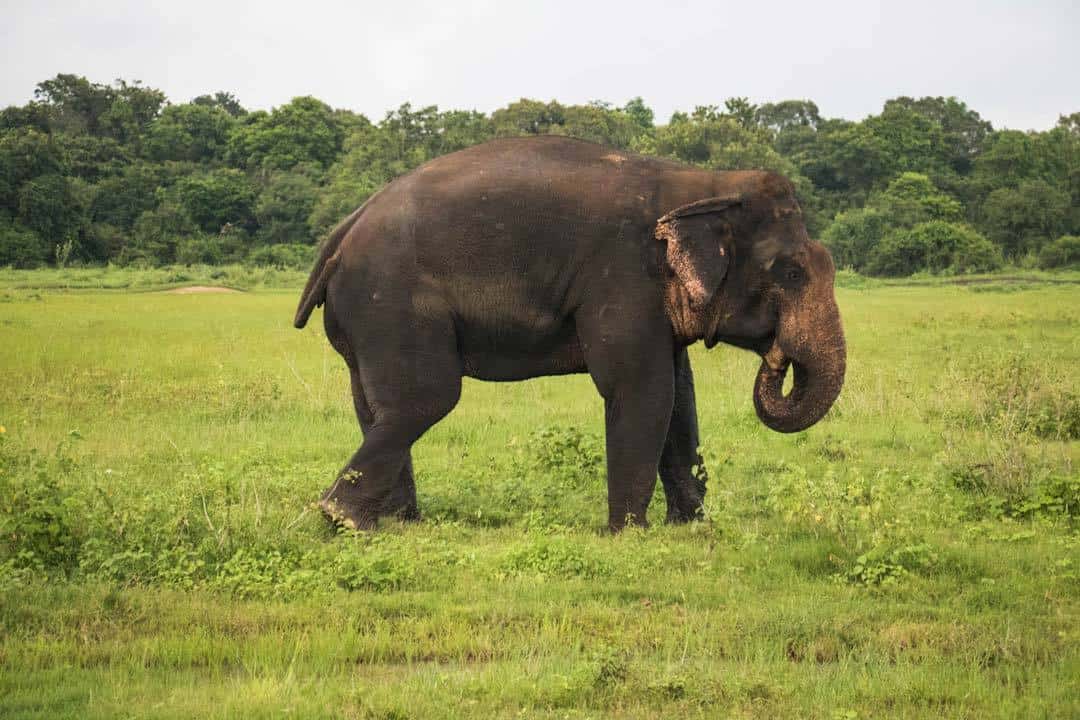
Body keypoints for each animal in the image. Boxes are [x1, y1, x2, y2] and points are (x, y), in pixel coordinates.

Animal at [293, 136, 842, 528]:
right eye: (792, 273)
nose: (778, 357)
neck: (699, 184)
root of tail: (343, 231)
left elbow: (681, 396)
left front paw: (690, 528)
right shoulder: (623, 276)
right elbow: (642, 388)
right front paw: (629, 534)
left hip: (365, 316)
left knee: (375, 404)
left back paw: (392, 524)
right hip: (391, 301)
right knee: (424, 399)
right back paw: (341, 519)